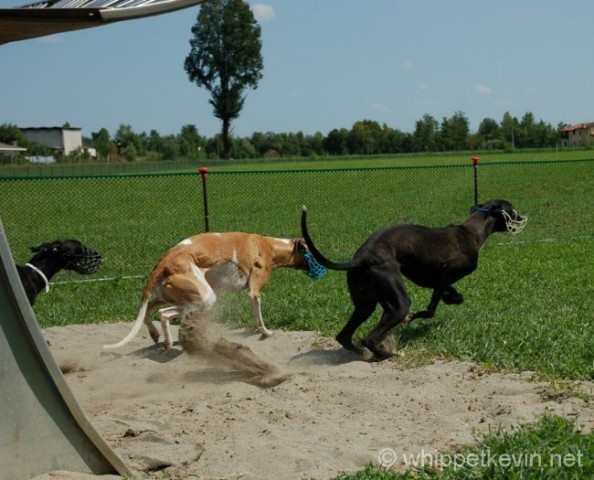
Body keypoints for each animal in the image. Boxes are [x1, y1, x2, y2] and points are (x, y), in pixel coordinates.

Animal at [103, 231, 324, 350]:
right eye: (312, 251)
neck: (269, 245)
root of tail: (165, 261)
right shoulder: (254, 290)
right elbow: (258, 312)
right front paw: (265, 332)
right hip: (203, 297)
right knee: (163, 314)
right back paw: (168, 341)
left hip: (168, 294)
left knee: (148, 309)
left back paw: (156, 335)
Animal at [298, 199, 524, 360]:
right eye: (512, 209)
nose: (522, 217)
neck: (471, 231)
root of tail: (360, 259)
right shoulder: (445, 273)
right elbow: (431, 309)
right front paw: (416, 316)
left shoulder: (433, 279)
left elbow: (452, 295)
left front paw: (452, 297)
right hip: (398, 302)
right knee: (369, 336)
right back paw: (385, 354)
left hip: (366, 304)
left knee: (345, 336)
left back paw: (365, 352)